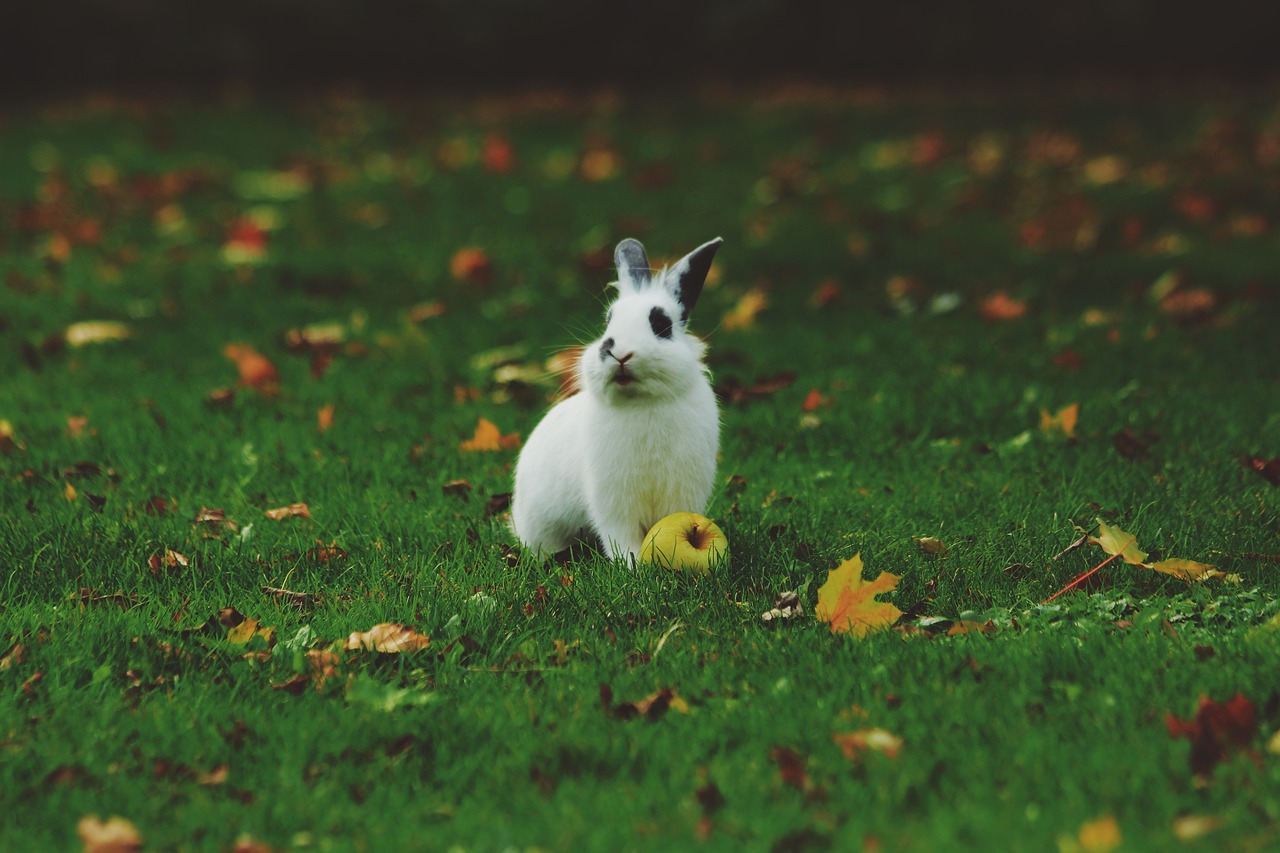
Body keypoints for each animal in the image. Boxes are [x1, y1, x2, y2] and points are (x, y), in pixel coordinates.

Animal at [511, 236, 723, 562]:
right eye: (608, 322)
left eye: (662, 324)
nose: (618, 353)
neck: (643, 402)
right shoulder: (613, 500)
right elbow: (620, 534)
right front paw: (632, 564)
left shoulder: (681, 492)